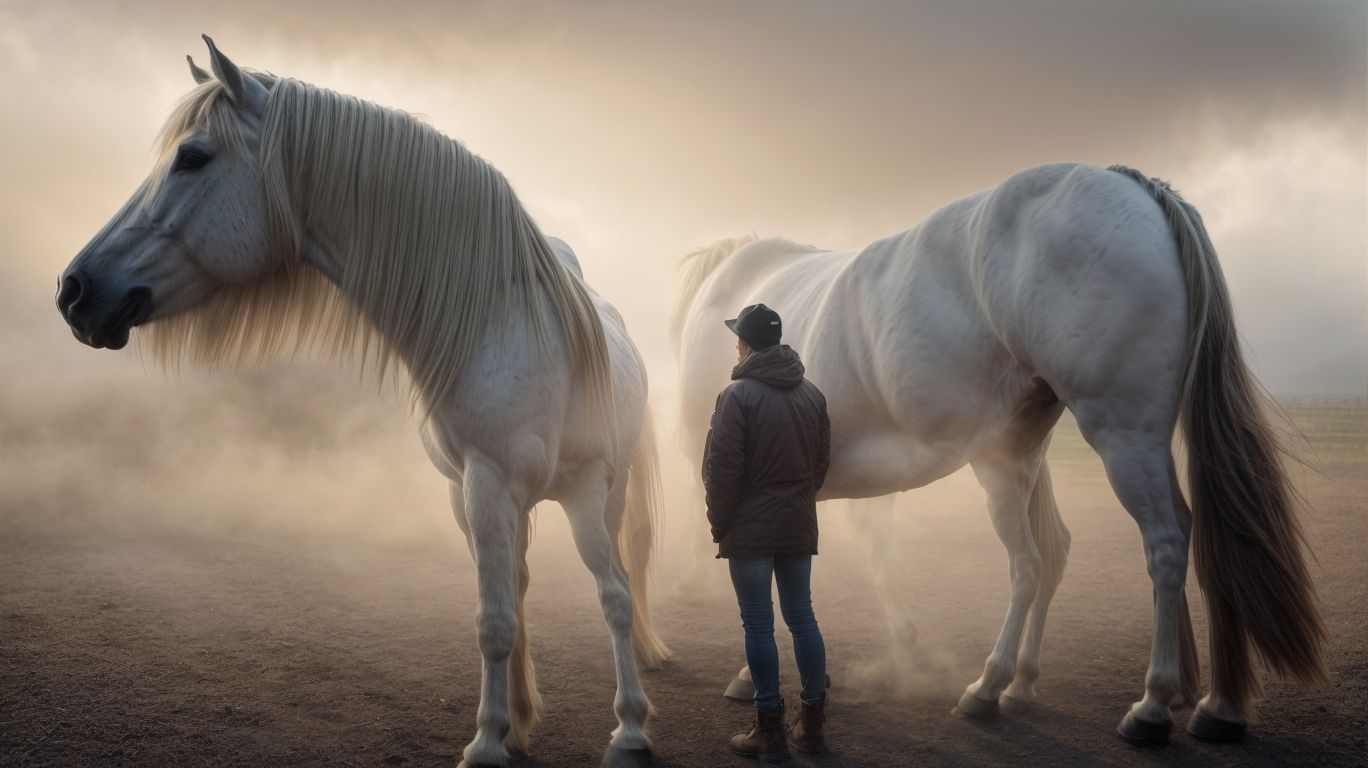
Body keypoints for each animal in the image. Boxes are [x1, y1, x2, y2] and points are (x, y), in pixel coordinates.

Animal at [55, 37, 669, 767]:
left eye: (193, 157)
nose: (75, 290)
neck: (510, 329)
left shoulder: (585, 486)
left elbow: (613, 596)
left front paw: (630, 730)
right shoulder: (484, 486)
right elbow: (494, 618)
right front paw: (493, 738)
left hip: (597, 491)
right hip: (477, 500)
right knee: (514, 590)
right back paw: (520, 718)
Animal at [670, 162, 1326, 744]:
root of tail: (1134, 185)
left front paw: (750, 674)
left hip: (1121, 438)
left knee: (1146, 548)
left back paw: (1130, 701)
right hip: (1040, 452)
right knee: (1110, 547)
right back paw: (1194, 702)